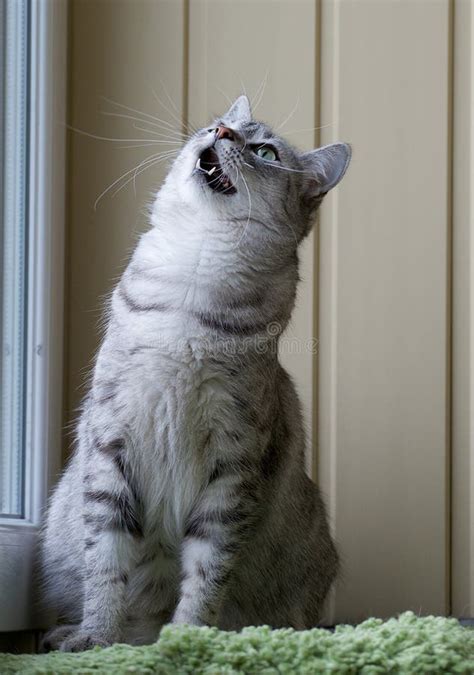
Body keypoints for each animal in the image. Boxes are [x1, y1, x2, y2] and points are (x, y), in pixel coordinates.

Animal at [41, 96, 352, 656]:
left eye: (266, 151)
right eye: (218, 124)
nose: (223, 131)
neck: (192, 277)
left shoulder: (233, 464)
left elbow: (207, 573)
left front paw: (186, 641)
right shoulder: (111, 439)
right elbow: (106, 560)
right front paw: (96, 638)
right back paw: (74, 633)